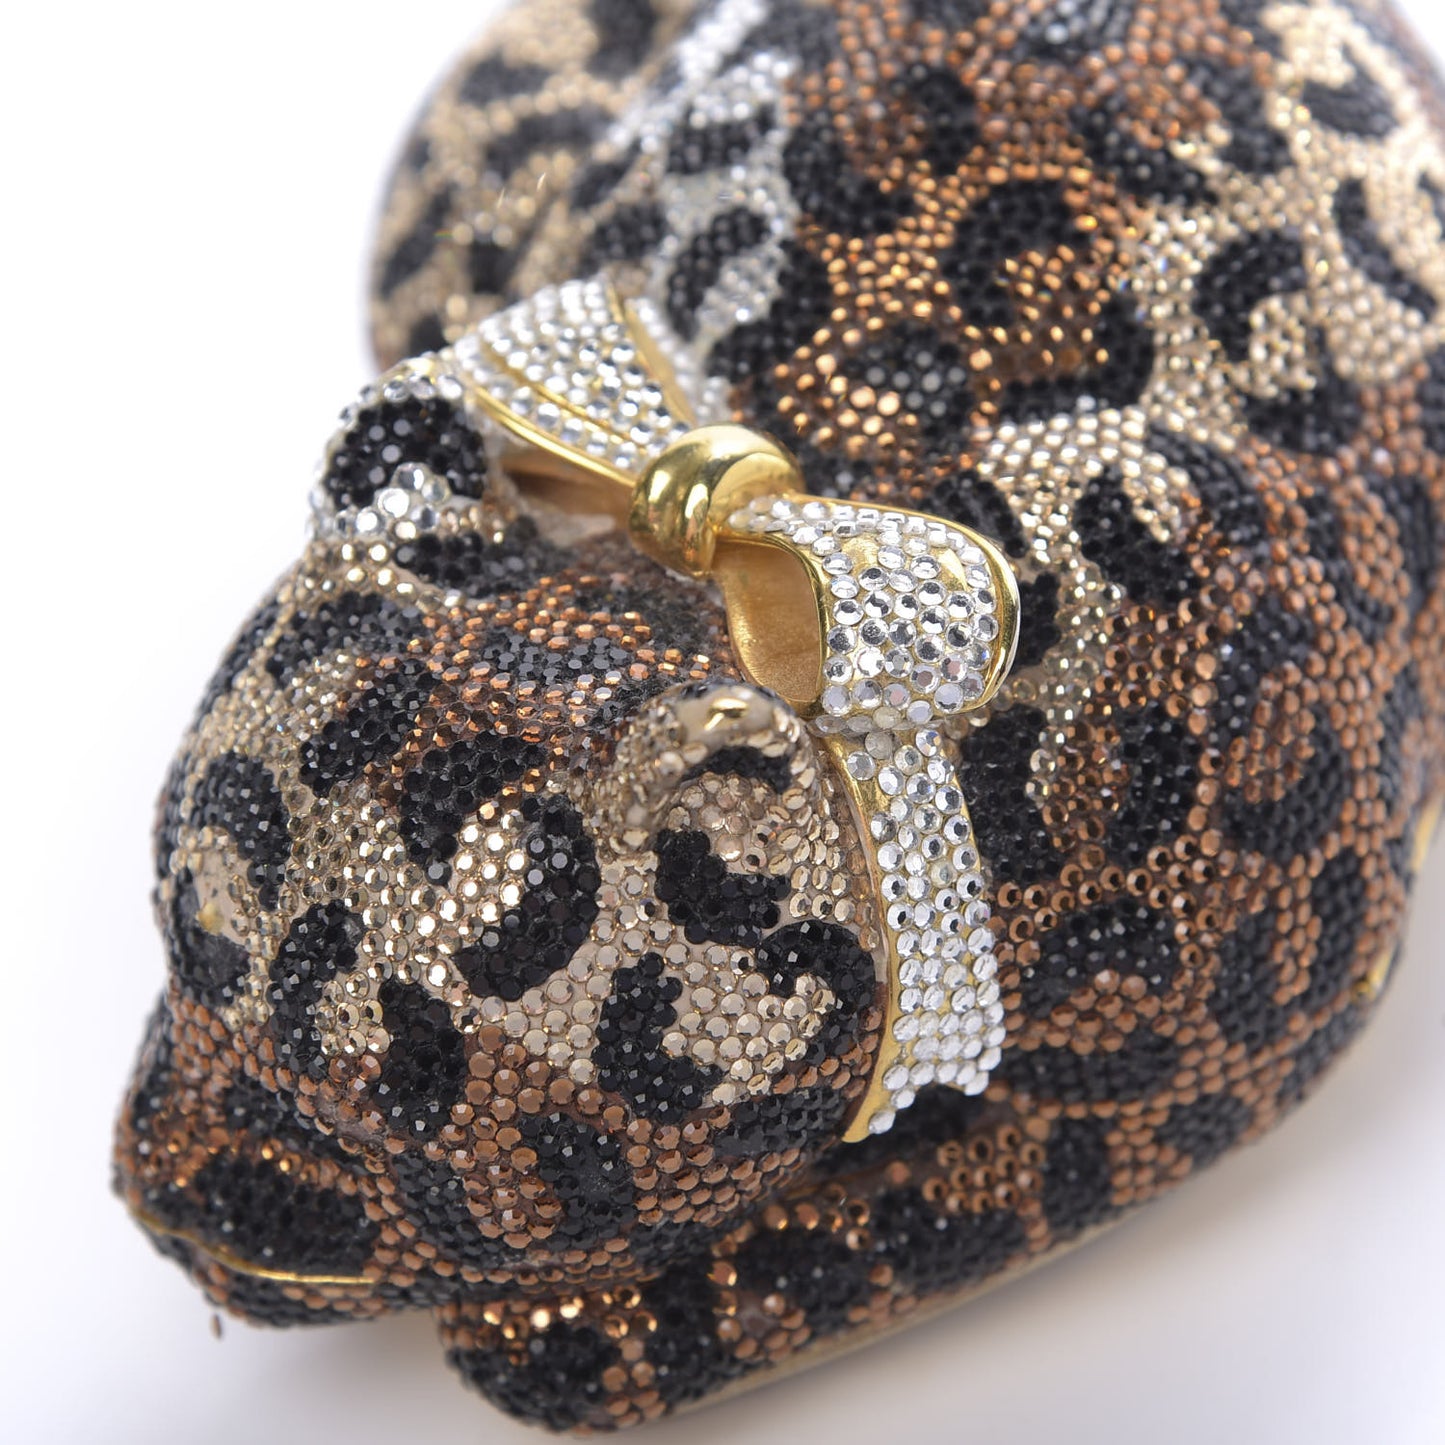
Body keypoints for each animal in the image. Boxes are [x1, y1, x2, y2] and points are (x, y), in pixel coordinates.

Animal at [117, 0, 1445, 1431]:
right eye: (172, 945)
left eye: (359, 1118)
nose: (155, 1190)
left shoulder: (1258, 992)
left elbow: (999, 1180)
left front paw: (588, 1328)